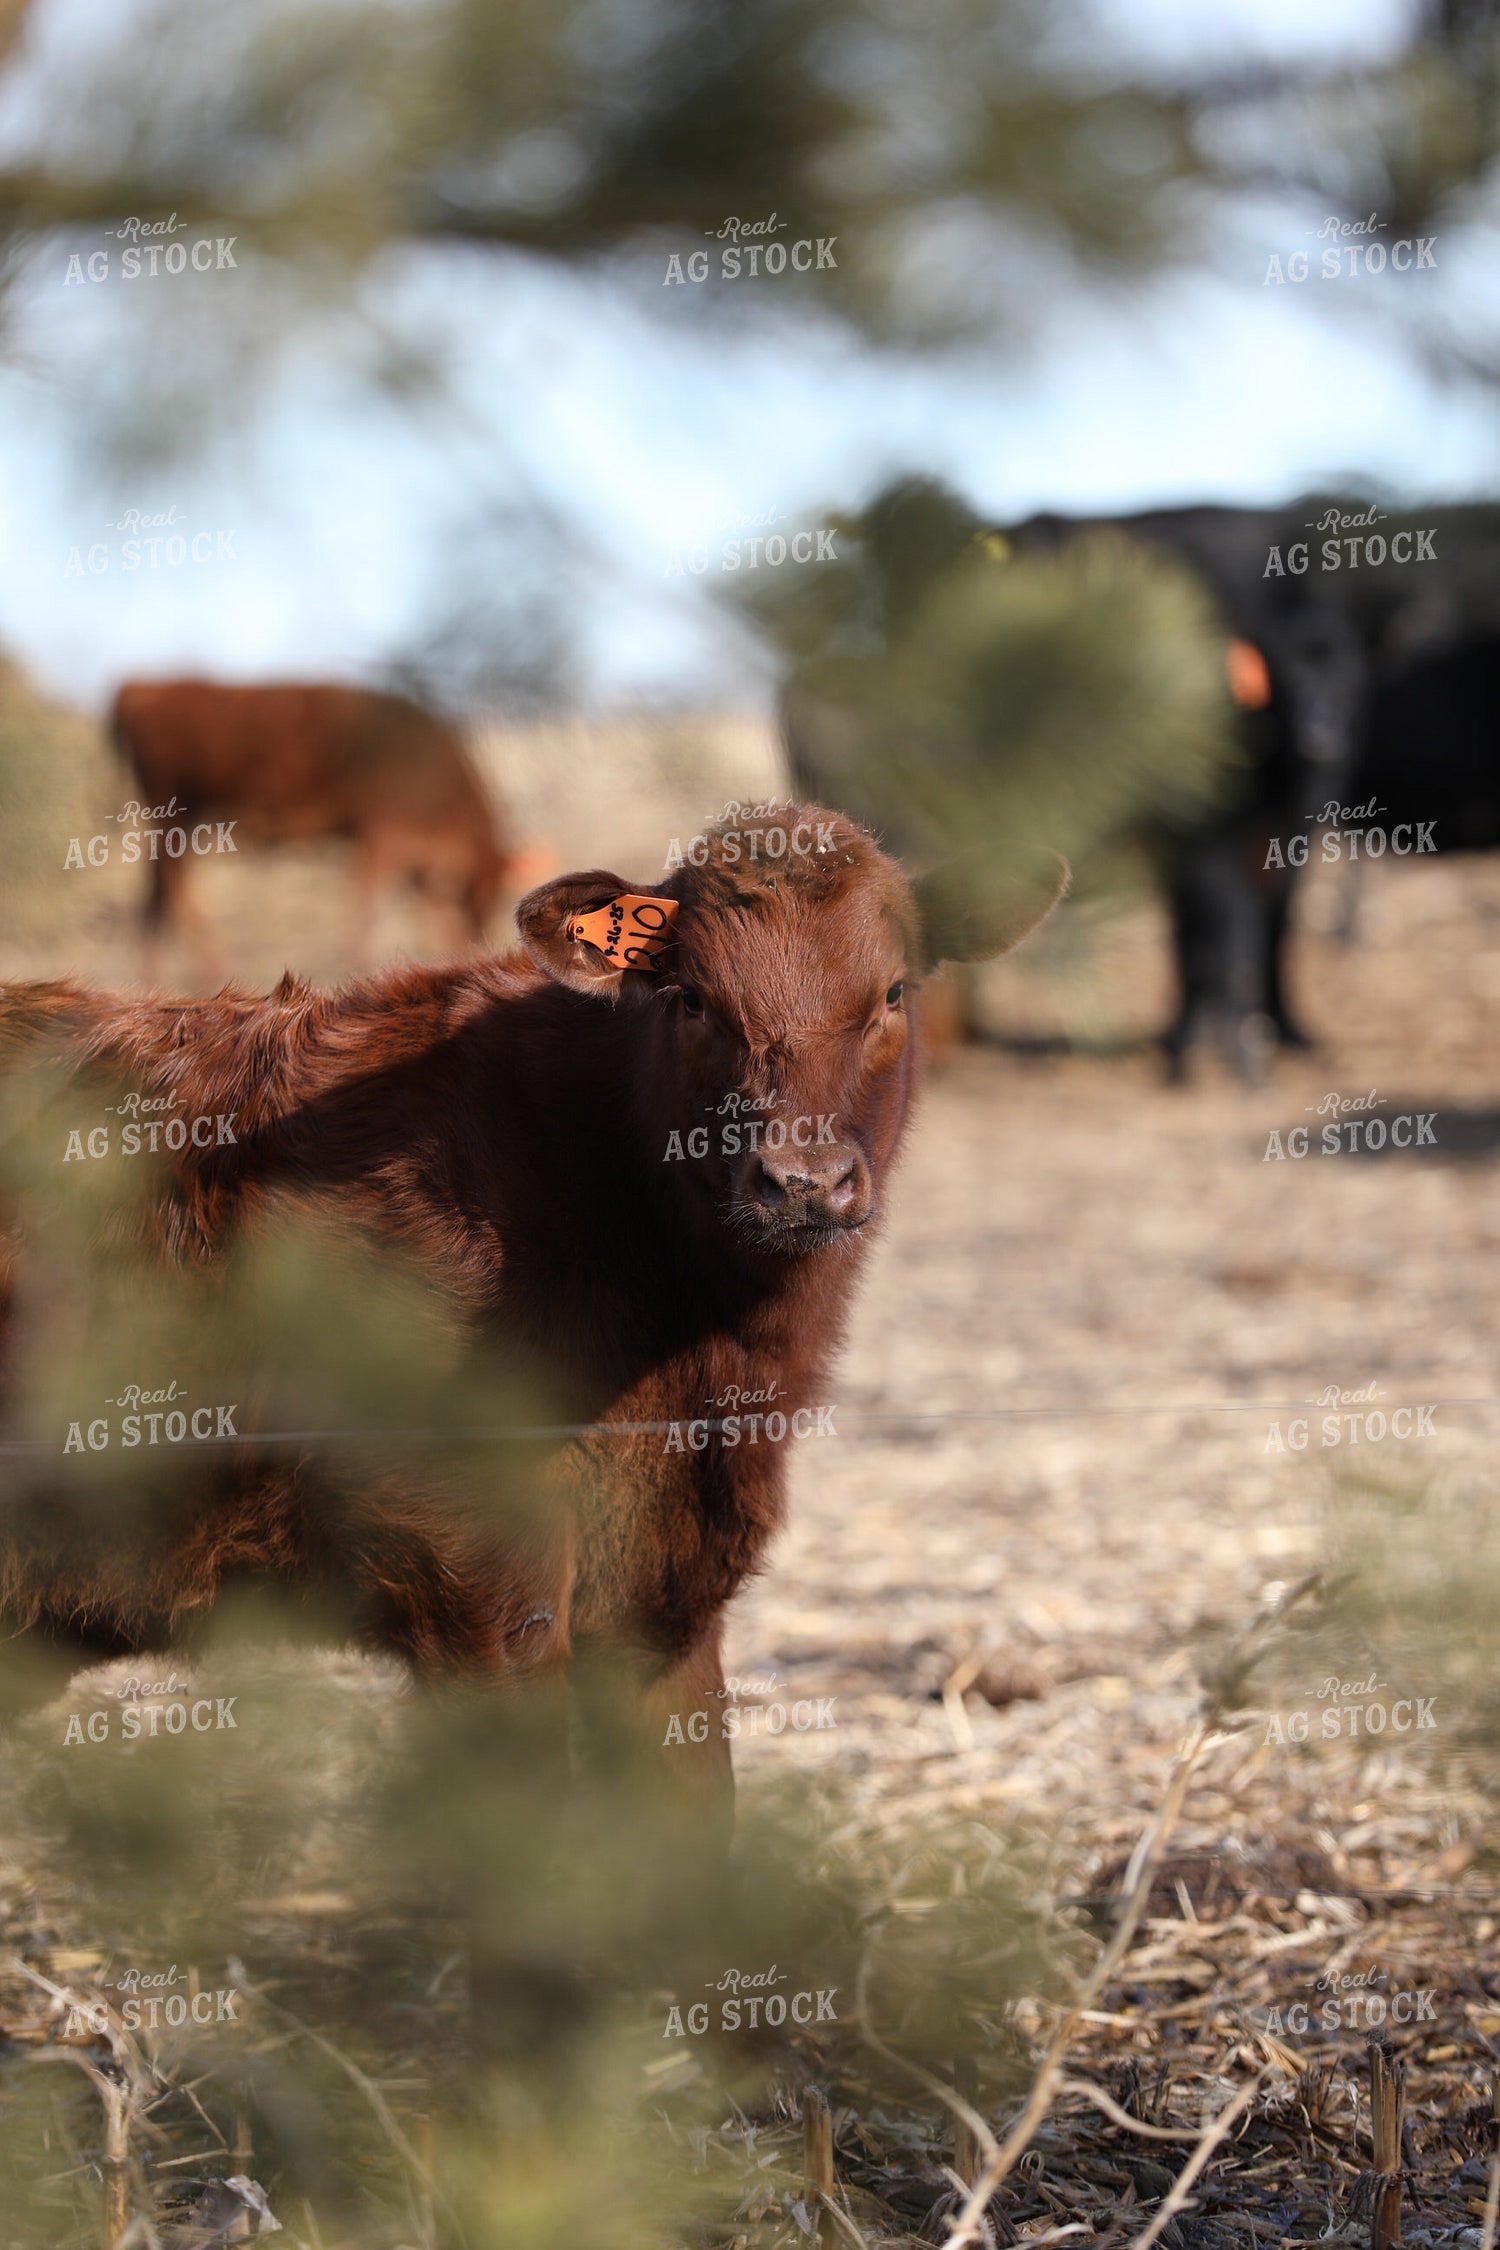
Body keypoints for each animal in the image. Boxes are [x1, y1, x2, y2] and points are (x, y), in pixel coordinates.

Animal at [109, 679, 519, 964]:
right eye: (494, 890)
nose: (482, 935)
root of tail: (139, 686)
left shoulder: (418, 861)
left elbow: (435, 923)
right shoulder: (380, 838)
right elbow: (368, 914)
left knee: (155, 903)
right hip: (179, 818)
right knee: (172, 895)